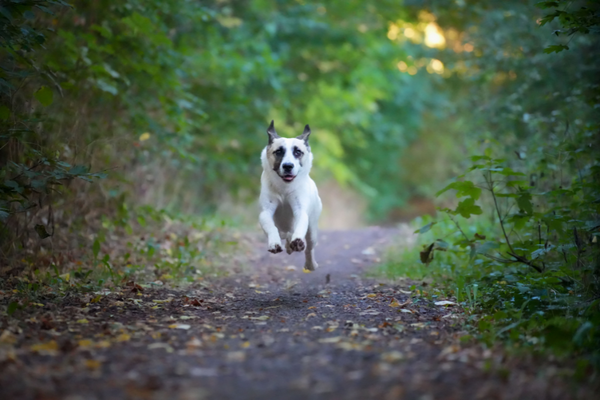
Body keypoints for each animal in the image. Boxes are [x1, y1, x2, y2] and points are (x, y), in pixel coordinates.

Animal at [258, 120, 324, 272]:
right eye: (278, 151)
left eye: (297, 152)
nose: (288, 166)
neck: (284, 188)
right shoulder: (266, 212)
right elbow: (271, 225)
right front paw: (274, 244)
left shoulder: (300, 209)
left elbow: (300, 223)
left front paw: (298, 241)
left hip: (312, 229)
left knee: (309, 247)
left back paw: (310, 264)